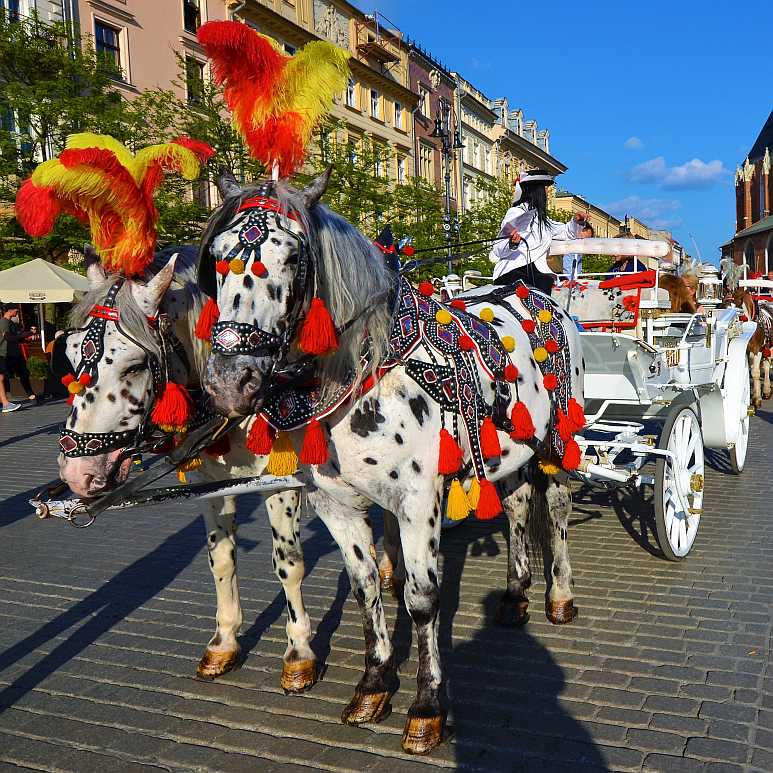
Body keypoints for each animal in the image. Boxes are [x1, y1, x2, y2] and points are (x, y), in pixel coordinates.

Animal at [199, 170, 584, 752]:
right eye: (218, 256)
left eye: (291, 256)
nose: (229, 382)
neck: (367, 368)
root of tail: (537, 294)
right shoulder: (334, 505)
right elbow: (365, 589)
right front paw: (373, 685)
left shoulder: (417, 501)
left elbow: (422, 599)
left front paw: (426, 708)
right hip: (509, 452)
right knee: (518, 507)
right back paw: (516, 594)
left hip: (556, 441)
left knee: (556, 509)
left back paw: (558, 595)